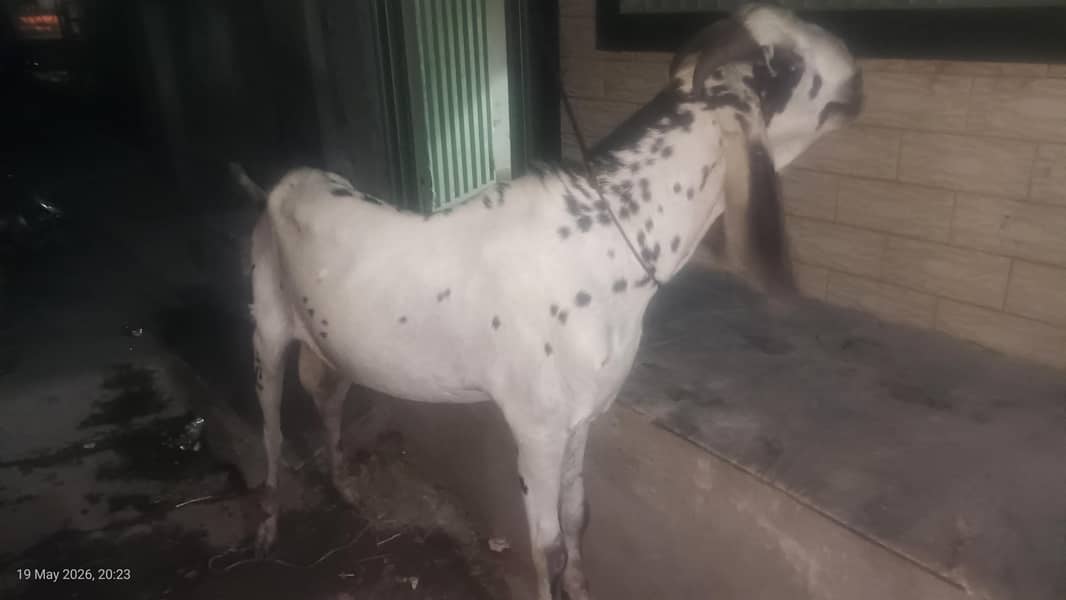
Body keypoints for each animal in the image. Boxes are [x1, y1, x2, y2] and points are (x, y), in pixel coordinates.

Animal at [239, 4, 862, 599]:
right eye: (788, 66)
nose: (856, 75)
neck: (608, 242)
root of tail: (284, 184)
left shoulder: (581, 416)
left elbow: (578, 516)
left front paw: (584, 588)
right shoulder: (535, 428)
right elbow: (548, 547)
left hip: (332, 348)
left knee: (327, 402)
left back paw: (345, 487)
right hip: (265, 331)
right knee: (271, 430)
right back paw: (268, 527)